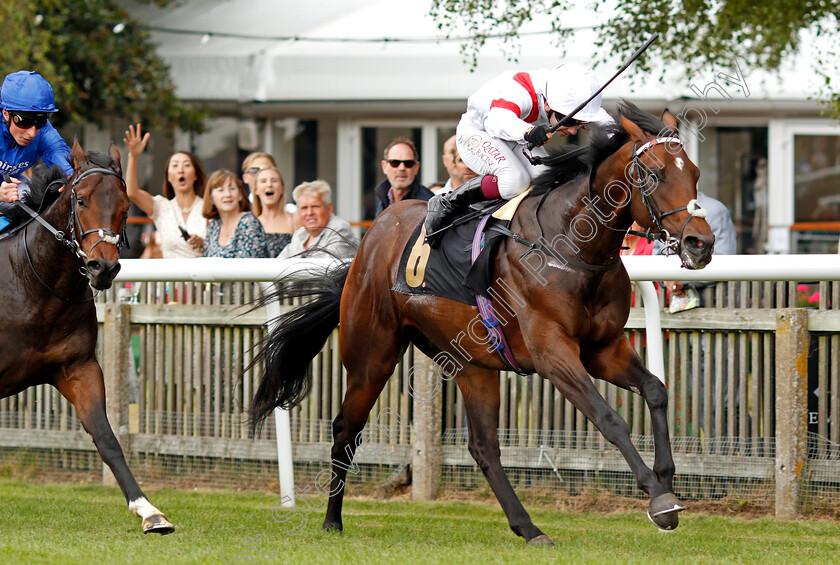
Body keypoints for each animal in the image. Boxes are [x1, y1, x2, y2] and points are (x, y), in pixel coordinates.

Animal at [0, 141, 173, 532]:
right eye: (80, 200)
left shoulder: (78, 367)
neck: (33, 286)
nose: (103, 267)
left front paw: (150, 511)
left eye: (126, 206)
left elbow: (107, 438)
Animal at [251, 102, 716, 540]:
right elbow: (610, 418)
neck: (572, 245)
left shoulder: (603, 349)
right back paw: (331, 520)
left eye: (695, 172)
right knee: (346, 428)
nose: (701, 243)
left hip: (471, 364)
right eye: (654, 174)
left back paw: (529, 528)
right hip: (371, 355)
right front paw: (657, 497)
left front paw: (667, 480)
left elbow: (655, 391)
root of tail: (373, 233)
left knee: (483, 446)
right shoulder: (554, 354)